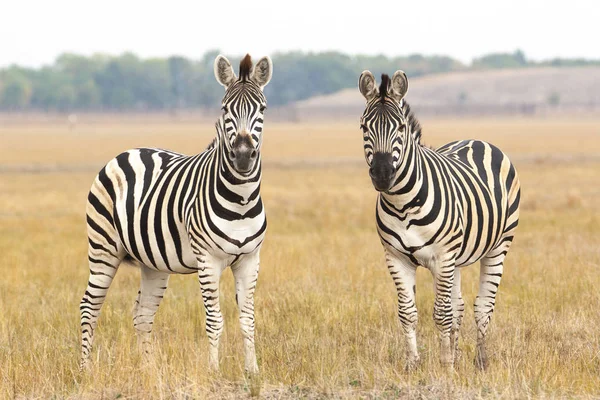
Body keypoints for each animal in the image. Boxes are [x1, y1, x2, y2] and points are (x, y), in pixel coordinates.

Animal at [79, 54, 274, 376]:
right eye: (225, 108)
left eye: (262, 108)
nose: (244, 156)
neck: (241, 199)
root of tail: (127, 151)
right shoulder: (208, 261)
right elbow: (215, 320)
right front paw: (214, 372)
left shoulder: (250, 259)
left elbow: (248, 319)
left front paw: (253, 372)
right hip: (102, 249)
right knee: (89, 307)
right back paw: (84, 371)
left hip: (152, 263)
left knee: (142, 314)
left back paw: (148, 371)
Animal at [356, 69, 520, 368]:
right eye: (364, 127)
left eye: (401, 128)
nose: (383, 175)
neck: (403, 205)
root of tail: (477, 140)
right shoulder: (396, 258)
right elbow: (408, 312)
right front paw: (414, 364)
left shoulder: (442, 258)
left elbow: (442, 313)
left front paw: (445, 367)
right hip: (455, 259)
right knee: (460, 306)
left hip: (499, 246)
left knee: (482, 306)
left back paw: (481, 361)